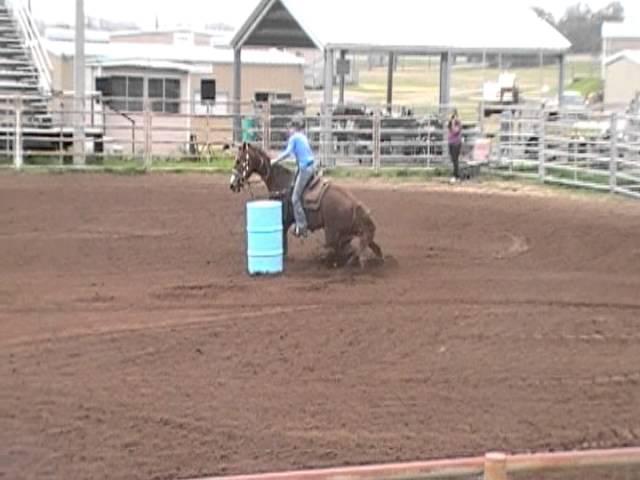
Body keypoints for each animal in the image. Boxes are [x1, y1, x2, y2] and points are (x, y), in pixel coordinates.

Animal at [229, 144, 382, 268]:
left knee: (341, 250)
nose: (232, 184)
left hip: (333, 233)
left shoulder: (283, 221)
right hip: (350, 232)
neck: (282, 182)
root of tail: (354, 204)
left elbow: (283, 244)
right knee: (367, 246)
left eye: (238, 160)